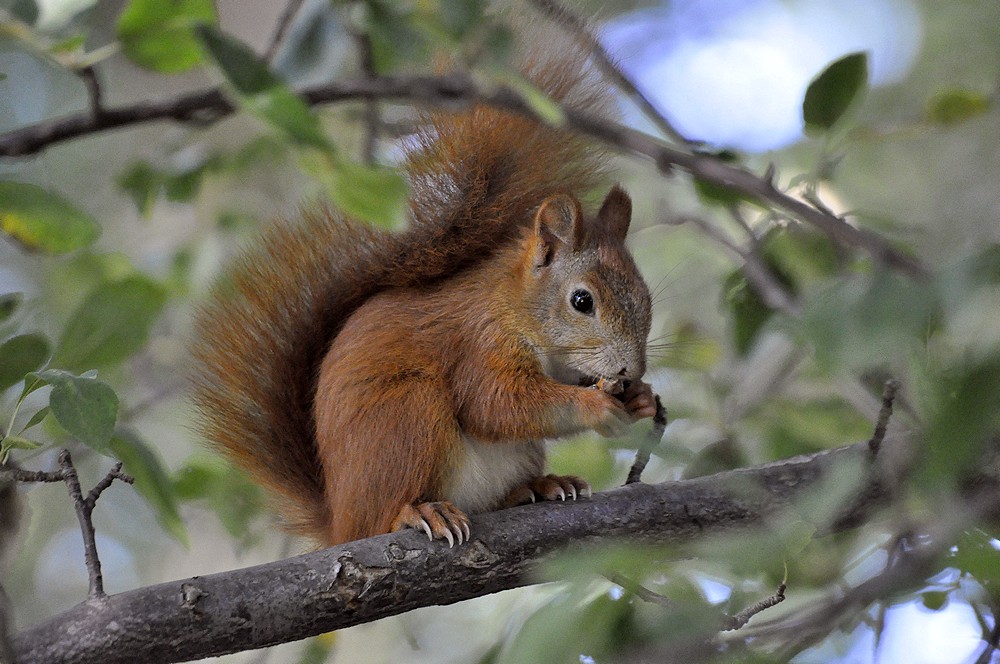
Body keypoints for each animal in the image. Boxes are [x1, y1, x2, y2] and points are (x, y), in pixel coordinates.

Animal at [189, 42, 656, 548]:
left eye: (647, 297)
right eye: (582, 301)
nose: (631, 370)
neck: (516, 308)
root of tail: (339, 522)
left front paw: (642, 398)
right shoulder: (479, 342)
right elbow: (496, 403)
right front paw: (598, 405)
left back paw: (539, 486)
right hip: (404, 417)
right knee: (384, 514)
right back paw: (417, 513)